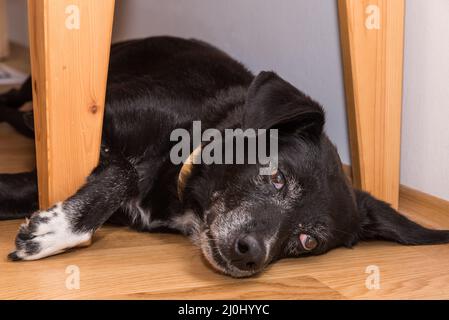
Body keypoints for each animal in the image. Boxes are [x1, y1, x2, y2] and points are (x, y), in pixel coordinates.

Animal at [0, 36, 448, 278]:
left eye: (308, 241)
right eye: (276, 177)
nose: (250, 253)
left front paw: (56, 225)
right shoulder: (97, 122)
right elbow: (124, 170)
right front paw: (57, 232)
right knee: (19, 98)